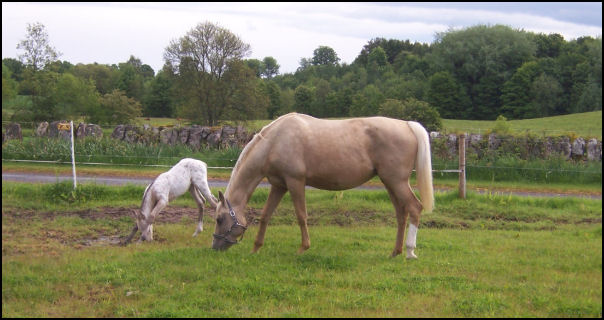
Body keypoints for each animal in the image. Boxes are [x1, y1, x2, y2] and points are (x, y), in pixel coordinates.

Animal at [212, 113, 434, 260]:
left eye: (219, 219)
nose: (215, 247)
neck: (275, 142)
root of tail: (407, 125)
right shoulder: (279, 185)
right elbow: (266, 215)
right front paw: (256, 248)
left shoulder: (295, 182)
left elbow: (301, 216)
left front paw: (303, 248)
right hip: (390, 183)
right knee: (401, 214)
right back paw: (395, 252)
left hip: (396, 182)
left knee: (415, 208)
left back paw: (410, 251)